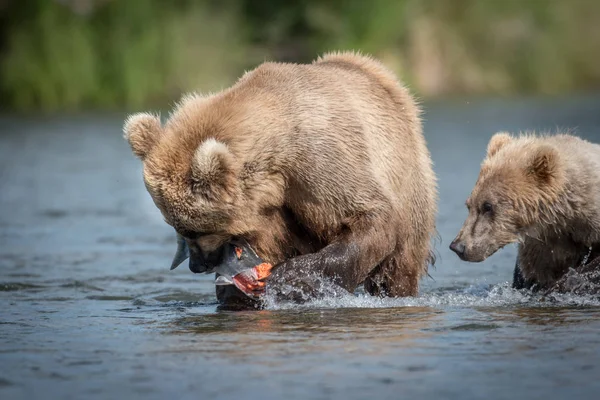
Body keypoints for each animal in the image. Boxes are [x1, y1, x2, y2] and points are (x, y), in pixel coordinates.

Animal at [123, 51, 436, 302]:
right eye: (176, 226)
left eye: (193, 230)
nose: (197, 265)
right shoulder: (266, 209)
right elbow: (267, 244)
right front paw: (237, 292)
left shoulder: (320, 161)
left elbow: (370, 215)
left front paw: (289, 279)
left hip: (408, 178)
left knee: (399, 265)